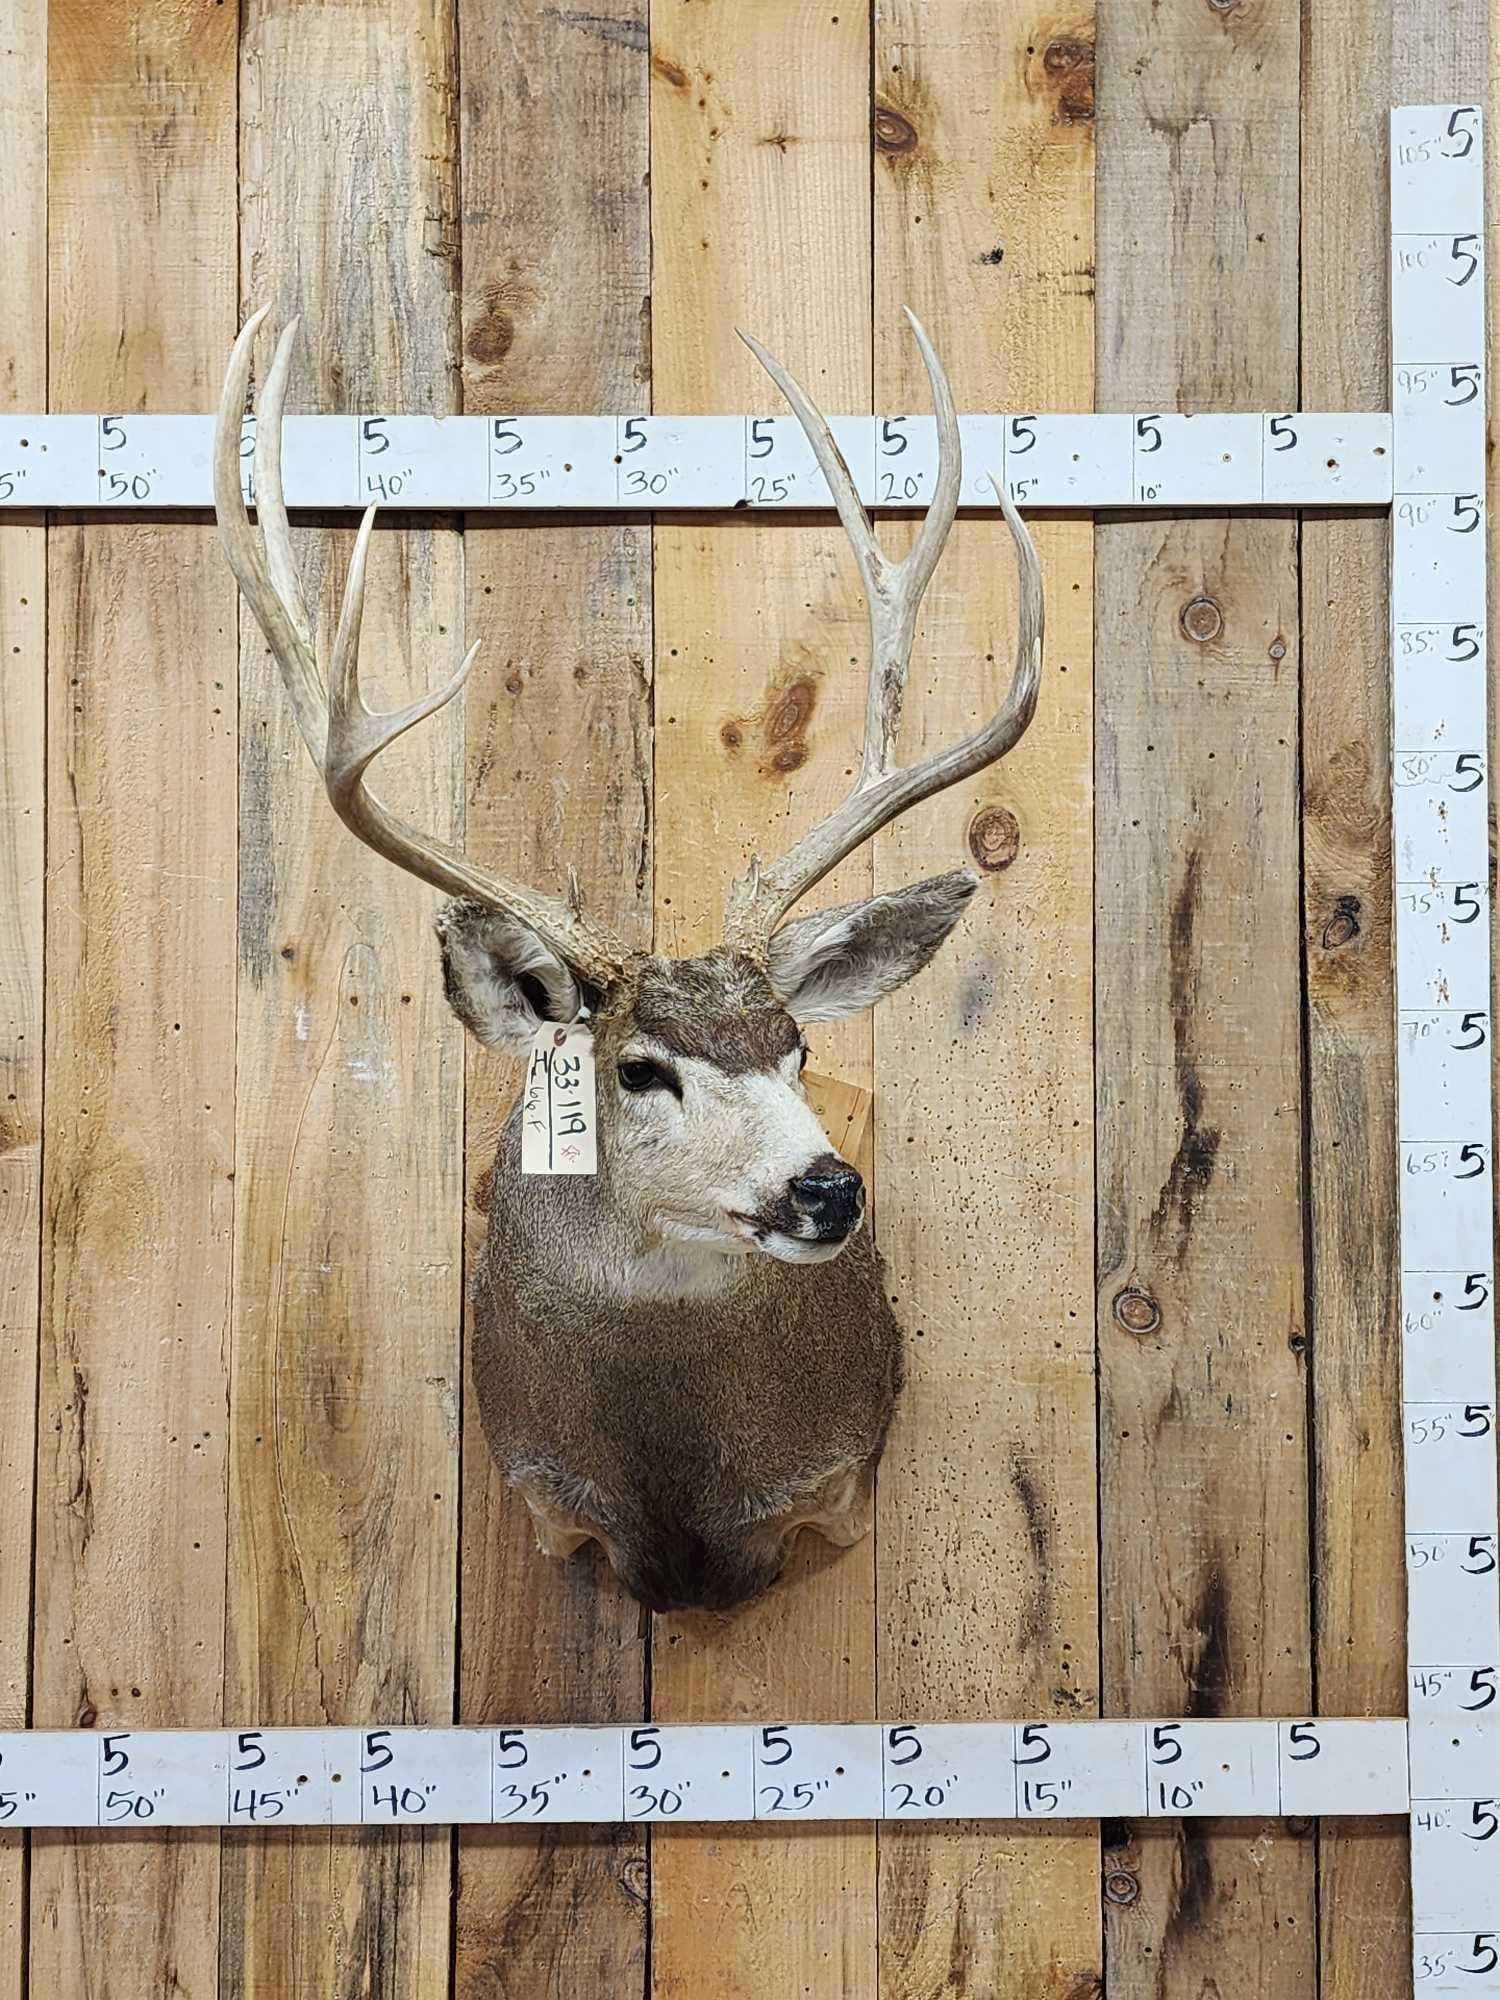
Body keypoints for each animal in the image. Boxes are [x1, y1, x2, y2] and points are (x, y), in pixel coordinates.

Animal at [214, 306, 1041, 1615]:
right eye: (641, 1065)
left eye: (795, 1048)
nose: (827, 1187)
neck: (681, 1502)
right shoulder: (550, 1495)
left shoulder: (833, 1480)